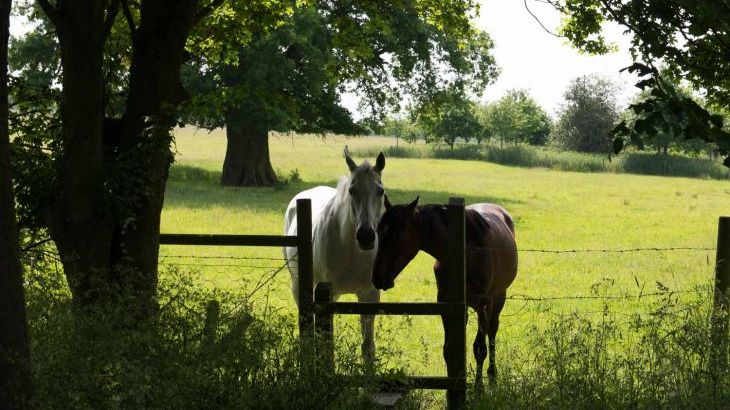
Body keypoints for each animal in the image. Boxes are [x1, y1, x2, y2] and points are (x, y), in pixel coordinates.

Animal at [282, 149, 386, 360]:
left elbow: (368, 347)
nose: (366, 236)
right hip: (299, 285)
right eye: (352, 190)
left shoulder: (369, 294)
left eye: (380, 190)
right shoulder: (326, 295)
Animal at [370, 197, 516, 382]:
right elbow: (449, 350)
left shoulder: (484, 305)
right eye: (378, 232)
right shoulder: (447, 305)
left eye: (397, 234)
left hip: (498, 299)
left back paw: (492, 373)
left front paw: (479, 387)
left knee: (492, 330)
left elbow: (480, 348)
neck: (466, 252)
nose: (377, 278)